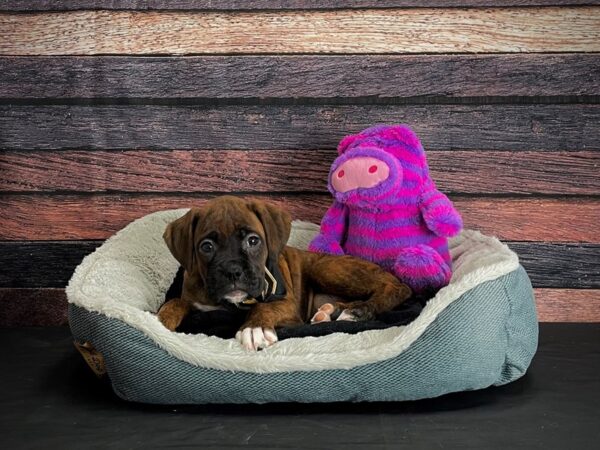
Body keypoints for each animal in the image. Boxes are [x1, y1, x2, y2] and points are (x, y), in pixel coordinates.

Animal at [157, 197, 410, 352]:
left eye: (253, 241)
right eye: (206, 247)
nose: (232, 271)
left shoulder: (285, 303)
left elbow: (264, 308)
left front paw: (254, 328)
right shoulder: (194, 300)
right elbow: (175, 302)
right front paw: (160, 321)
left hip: (325, 269)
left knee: (396, 288)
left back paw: (358, 311)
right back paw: (331, 312)